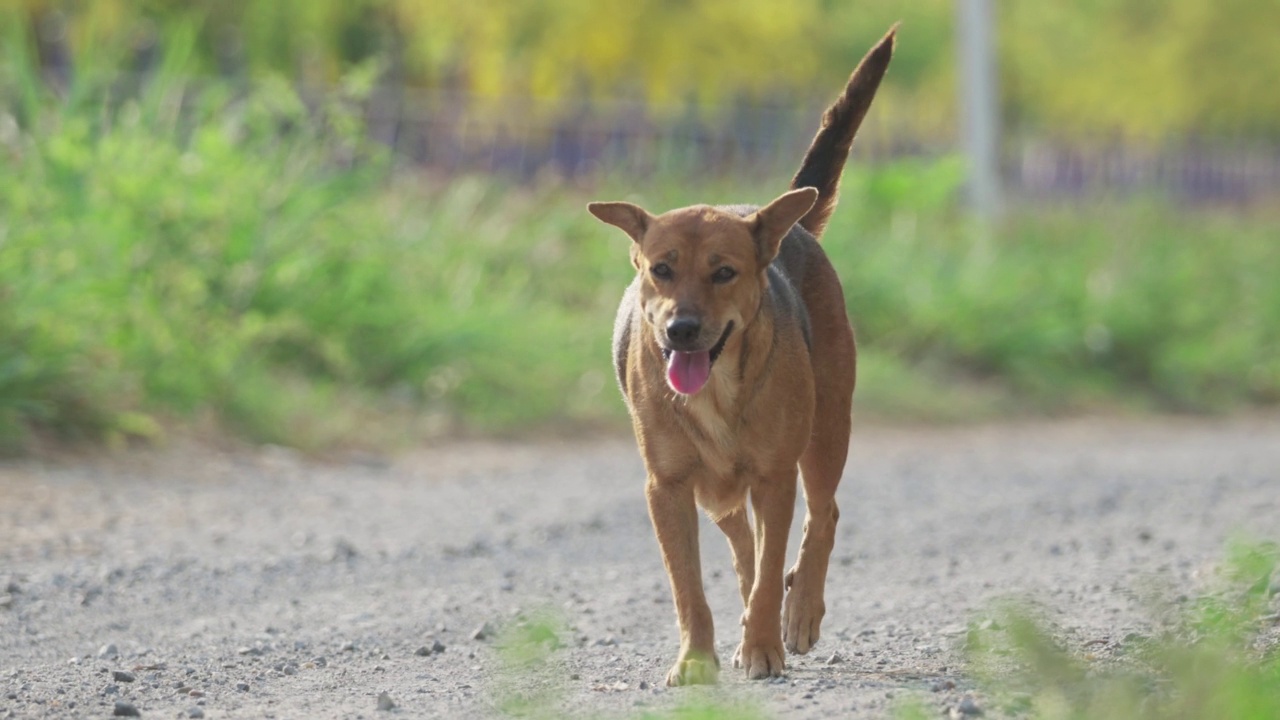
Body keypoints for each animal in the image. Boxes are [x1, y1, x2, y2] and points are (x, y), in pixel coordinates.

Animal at [586, 25, 896, 681]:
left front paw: (763, 647)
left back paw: (799, 613)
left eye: (724, 272)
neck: (716, 392)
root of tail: (782, 224)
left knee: (822, 518)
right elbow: (689, 587)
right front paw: (696, 659)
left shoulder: (775, 476)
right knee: (746, 550)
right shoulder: (668, 488)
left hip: (827, 429)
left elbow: (775, 560)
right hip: (719, 493)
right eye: (660, 269)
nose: (680, 329)